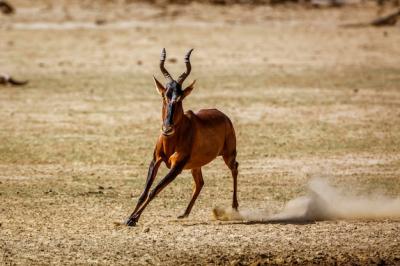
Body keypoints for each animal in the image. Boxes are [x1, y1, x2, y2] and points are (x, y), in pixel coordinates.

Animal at [124, 48, 238, 227]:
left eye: (180, 97)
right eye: (164, 95)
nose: (167, 128)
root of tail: (224, 116)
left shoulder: (176, 166)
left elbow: (154, 190)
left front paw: (133, 219)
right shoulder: (155, 160)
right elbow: (144, 191)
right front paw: (129, 217)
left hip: (228, 155)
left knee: (235, 168)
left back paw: (234, 208)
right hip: (195, 164)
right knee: (200, 183)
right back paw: (184, 213)